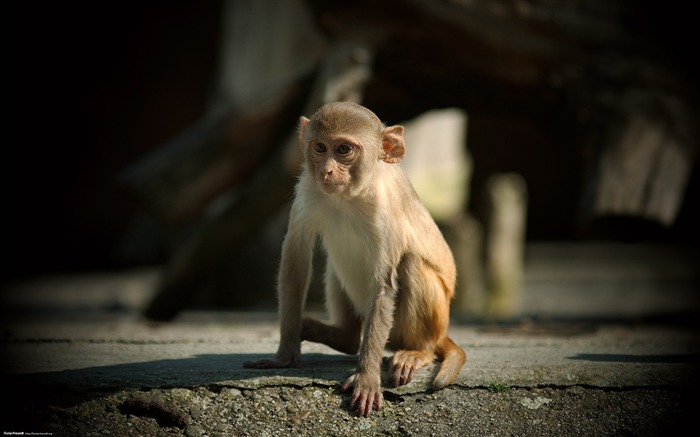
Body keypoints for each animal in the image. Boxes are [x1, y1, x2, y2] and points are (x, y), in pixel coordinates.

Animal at [243, 101, 468, 416]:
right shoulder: (307, 190)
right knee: (337, 270)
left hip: (420, 325)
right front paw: (285, 354)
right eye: (320, 147)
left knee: (411, 265)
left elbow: (384, 285)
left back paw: (417, 352)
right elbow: (295, 259)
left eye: (343, 150)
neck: (350, 196)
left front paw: (366, 378)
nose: (326, 171)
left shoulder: (386, 209)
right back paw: (338, 335)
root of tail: (441, 333)